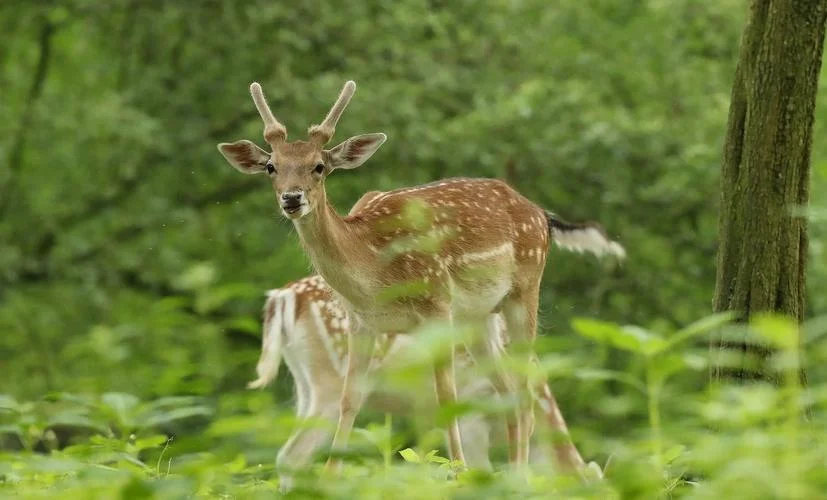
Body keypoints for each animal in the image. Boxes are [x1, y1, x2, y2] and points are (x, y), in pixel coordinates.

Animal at [248, 275, 566, 490]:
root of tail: (281, 297)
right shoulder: (473, 411)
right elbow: (480, 470)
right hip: (330, 381)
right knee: (294, 455)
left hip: (305, 384)